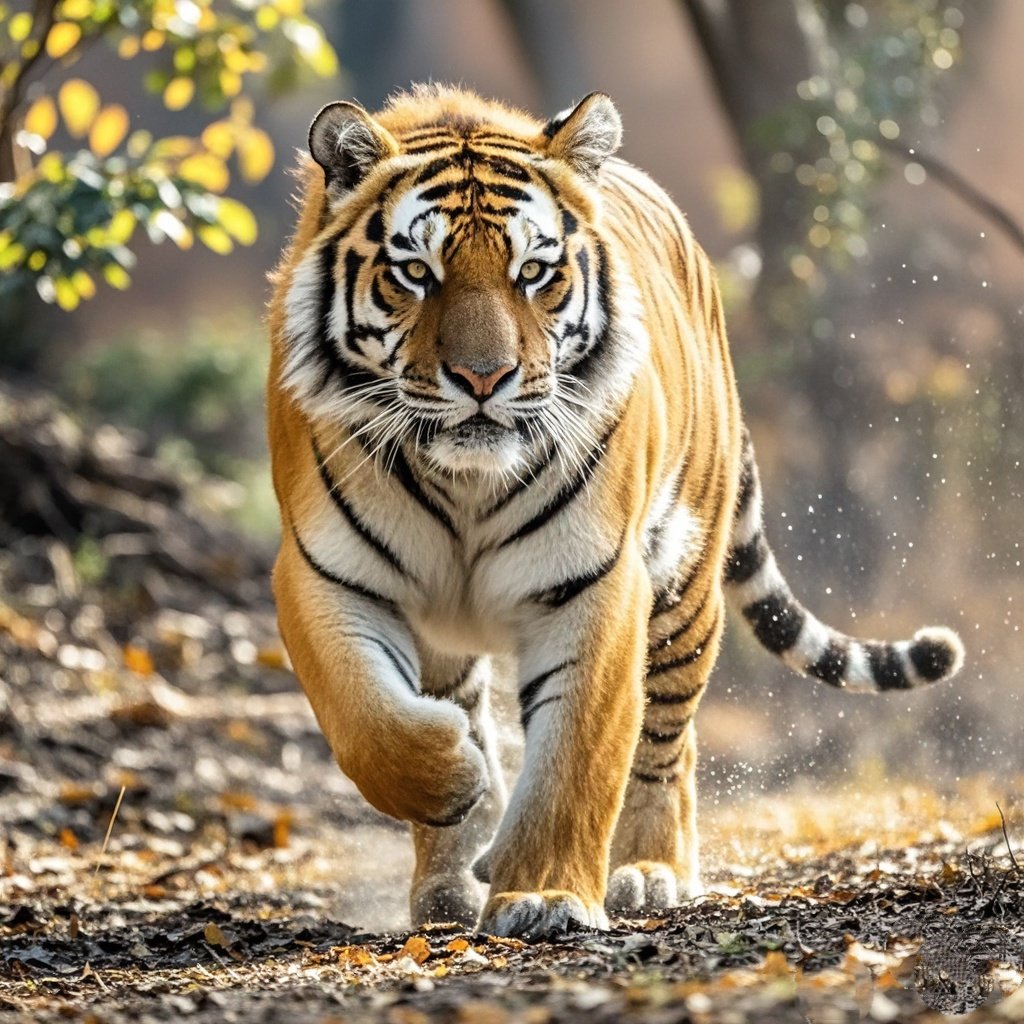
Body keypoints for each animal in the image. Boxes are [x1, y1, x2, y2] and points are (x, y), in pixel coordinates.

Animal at [266, 85, 964, 940]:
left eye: (533, 272)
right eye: (416, 273)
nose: (484, 378)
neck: (466, 481)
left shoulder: (593, 584)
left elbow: (577, 756)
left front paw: (543, 895)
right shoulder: (323, 574)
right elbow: (365, 719)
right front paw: (456, 779)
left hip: (684, 588)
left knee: (667, 744)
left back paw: (648, 874)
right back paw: (449, 883)